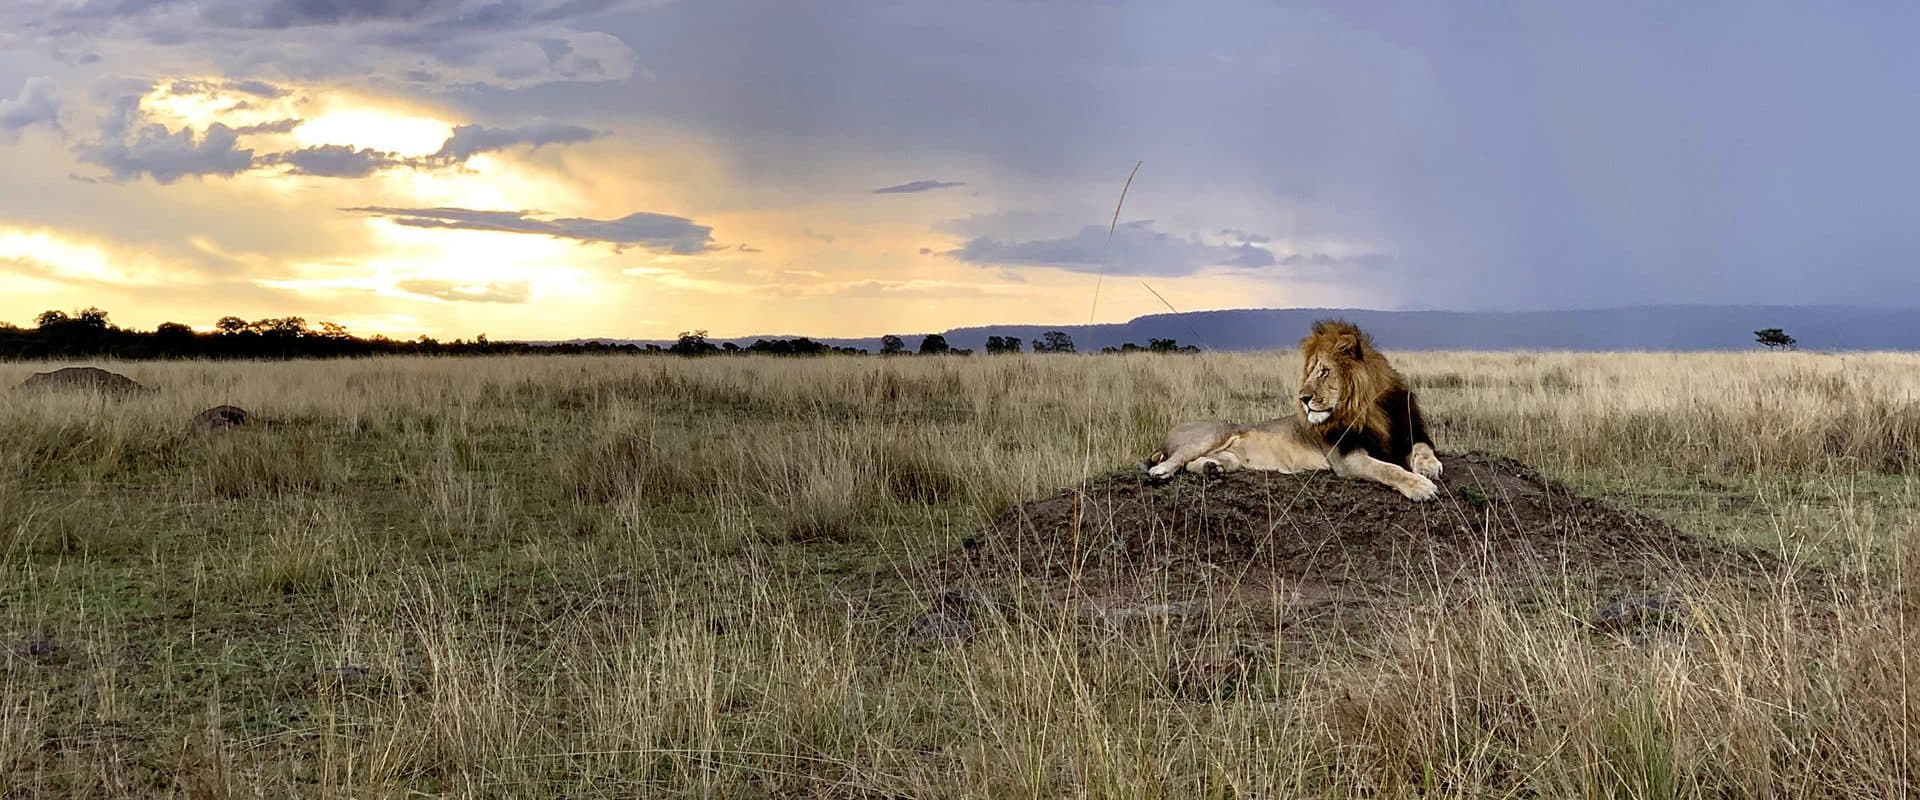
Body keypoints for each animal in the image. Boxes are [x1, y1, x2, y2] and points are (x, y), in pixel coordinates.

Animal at [1140, 320, 1443, 501]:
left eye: (1324, 371)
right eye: (1309, 372)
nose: (1303, 398)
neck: (1370, 409)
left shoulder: (1409, 431)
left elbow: (1422, 447)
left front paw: (1429, 467)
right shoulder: (1346, 458)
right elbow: (1388, 469)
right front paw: (1420, 486)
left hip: (1230, 456)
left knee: (1197, 463)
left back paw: (1212, 469)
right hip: (1214, 432)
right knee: (1176, 458)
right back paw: (1162, 472)